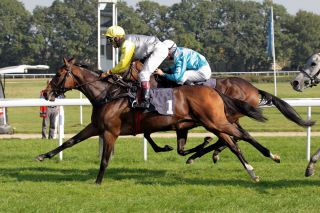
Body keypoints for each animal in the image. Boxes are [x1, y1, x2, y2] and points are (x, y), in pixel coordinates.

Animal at [36, 57, 266, 184]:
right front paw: (43, 155)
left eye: (58, 74)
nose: (46, 93)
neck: (109, 94)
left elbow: (105, 159)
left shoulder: (110, 131)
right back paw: (249, 170)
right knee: (233, 143)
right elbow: (70, 141)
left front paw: (98, 181)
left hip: (216, 122)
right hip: (214, 123)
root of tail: (215, 91)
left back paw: (268, 157)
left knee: (242, 136)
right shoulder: (96, 127)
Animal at [125, 60, 316, 164]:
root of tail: (254, 89)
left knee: (233, 136)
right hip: (229, 118)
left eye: (126, 68)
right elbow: (149, 135)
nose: (117, 77)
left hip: (227, 117)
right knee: (236, 136)